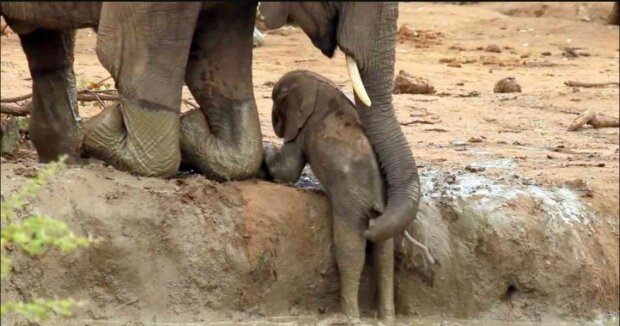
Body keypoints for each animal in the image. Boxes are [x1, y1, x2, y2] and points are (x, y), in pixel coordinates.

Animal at [264, 70, 434, 320]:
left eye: (276, 103)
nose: (275, 126)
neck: (318, 83)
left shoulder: (304, 129)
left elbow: (288, 168)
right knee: (384, 254)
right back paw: (385, 317)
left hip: (351, 201)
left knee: (350, 247)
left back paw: (349, 316)